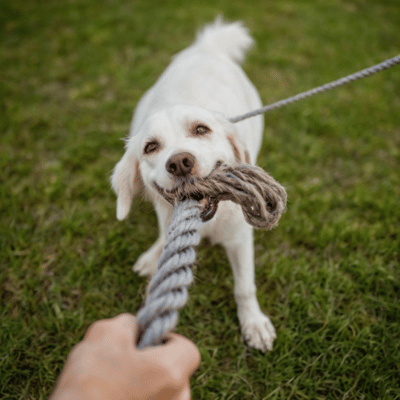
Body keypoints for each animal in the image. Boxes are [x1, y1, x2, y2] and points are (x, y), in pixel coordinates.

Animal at [111, 18, 276, 350]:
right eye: (151, 147)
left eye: (201, 129)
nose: (180, 163)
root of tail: (206, 48)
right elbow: (165, 235)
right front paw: (154, 257)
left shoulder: (240, 238)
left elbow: (245, 287)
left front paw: (253, 323)